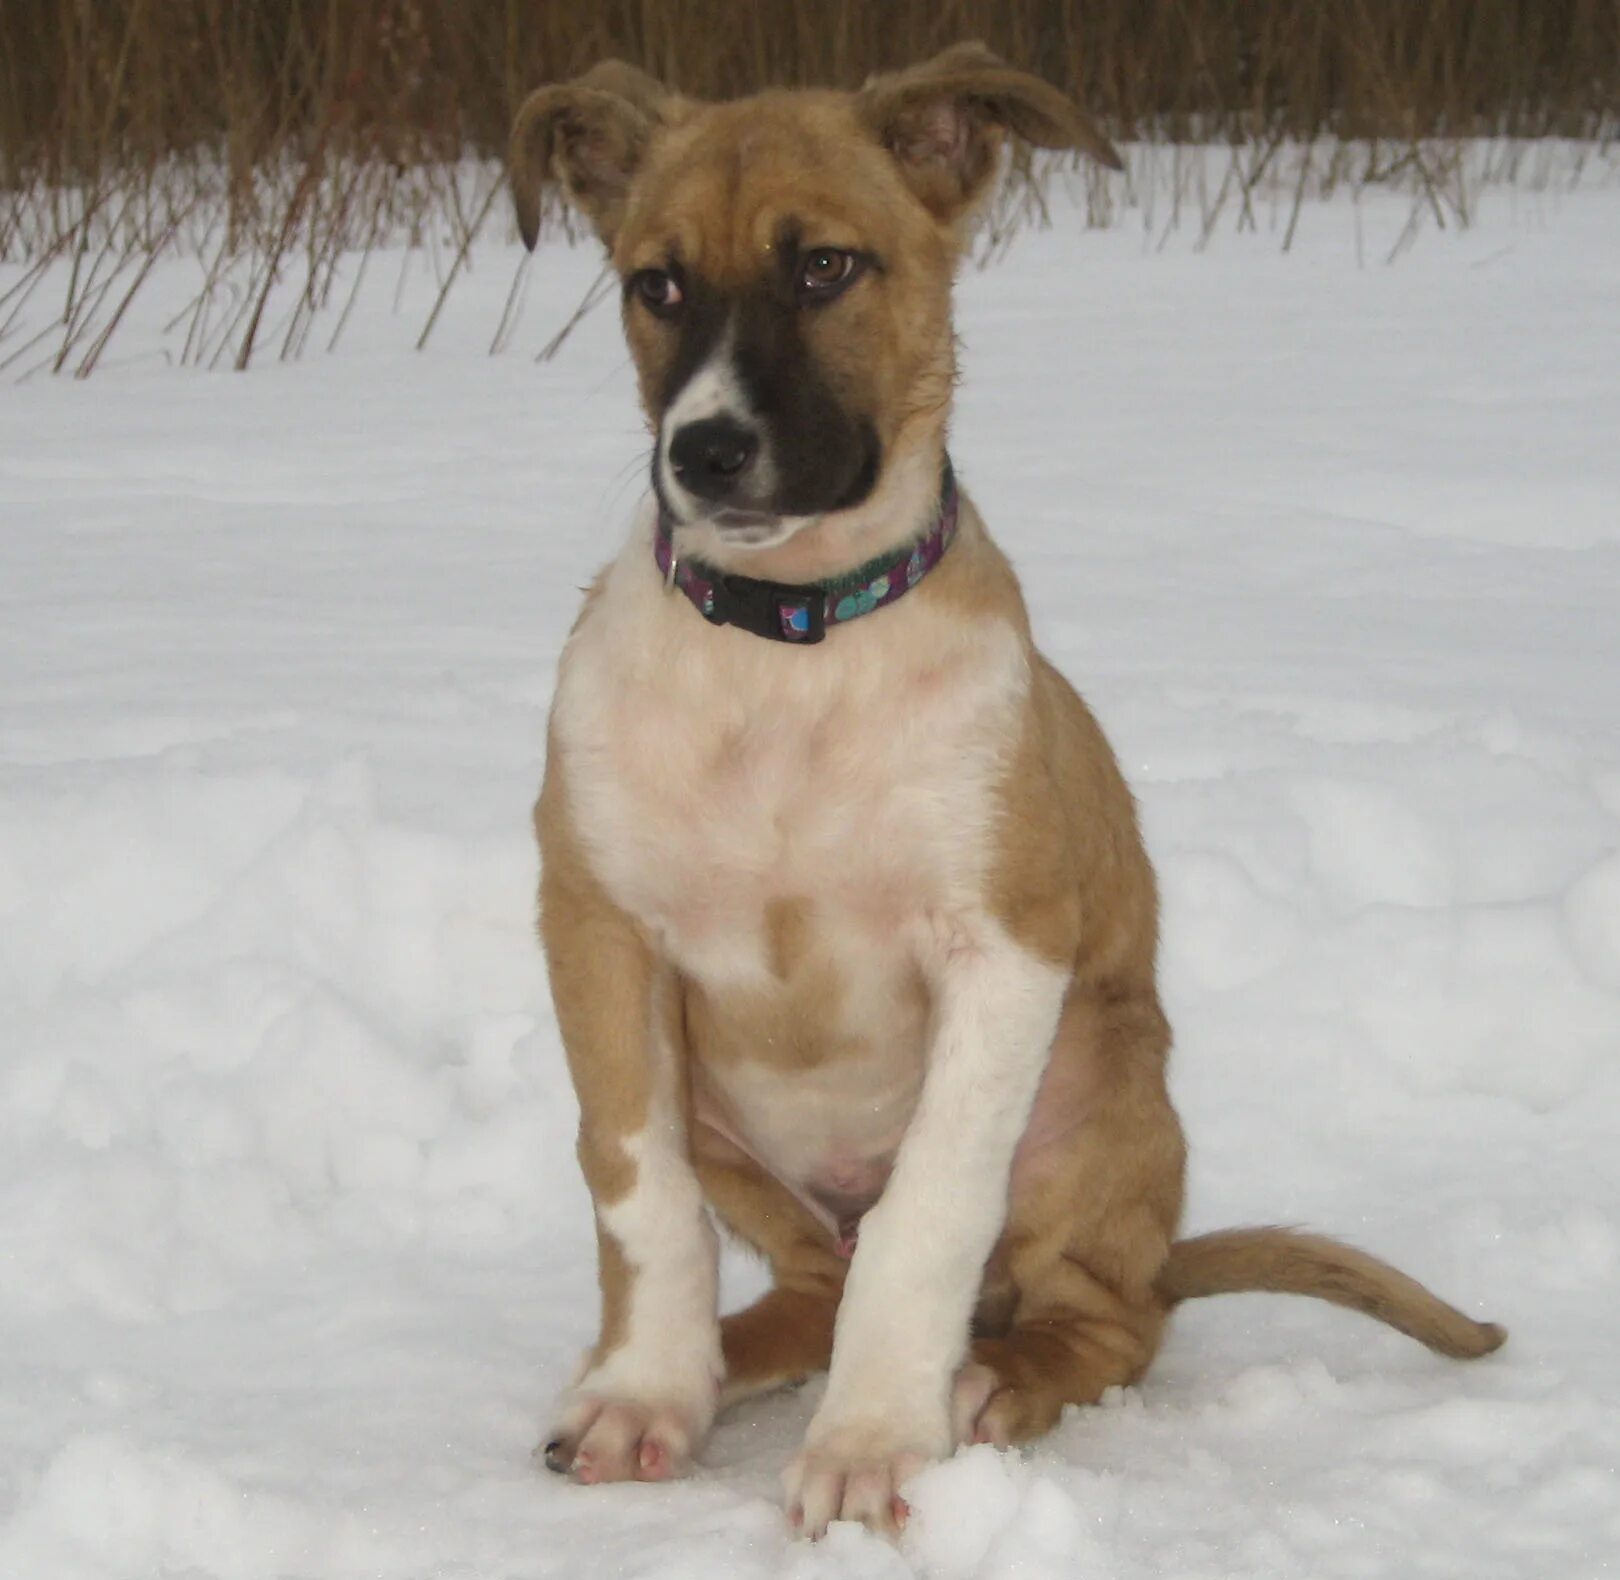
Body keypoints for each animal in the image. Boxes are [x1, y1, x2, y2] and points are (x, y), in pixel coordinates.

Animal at [508, 43, 1503, 1536]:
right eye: (656, 284)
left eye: (826, 268)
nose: (706, 451)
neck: (788, 651)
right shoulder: (600, 934)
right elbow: (637, 1186)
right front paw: (644, 1391)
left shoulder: (1003, 945)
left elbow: (927, 1210)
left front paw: (874, 1440)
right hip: (743, 1129)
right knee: (812, 1279)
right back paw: (730, 1360)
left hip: (1100, 1092)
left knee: (1104, 1318)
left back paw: (989, 1380)